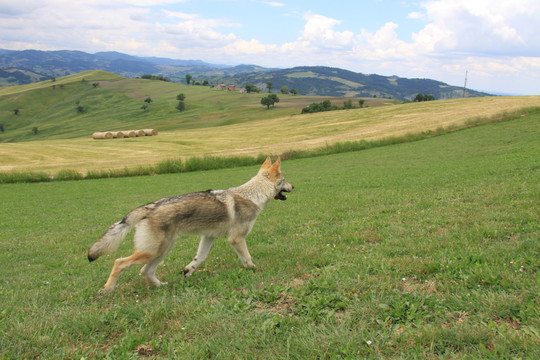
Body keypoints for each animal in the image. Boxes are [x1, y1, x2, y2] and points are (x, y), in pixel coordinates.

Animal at [87, 156, 296, 294]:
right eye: (285, 180)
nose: (294, 186)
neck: (253, 195)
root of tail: (150, 207)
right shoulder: (236, 239)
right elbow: (248, 258)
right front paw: (254, 270)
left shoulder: (208, 237)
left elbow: (199, 258)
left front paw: (188, 271)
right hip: (154, 251)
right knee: (120, 262)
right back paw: (106, 290)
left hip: (162, 251)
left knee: (144, 271)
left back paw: (161, 286)